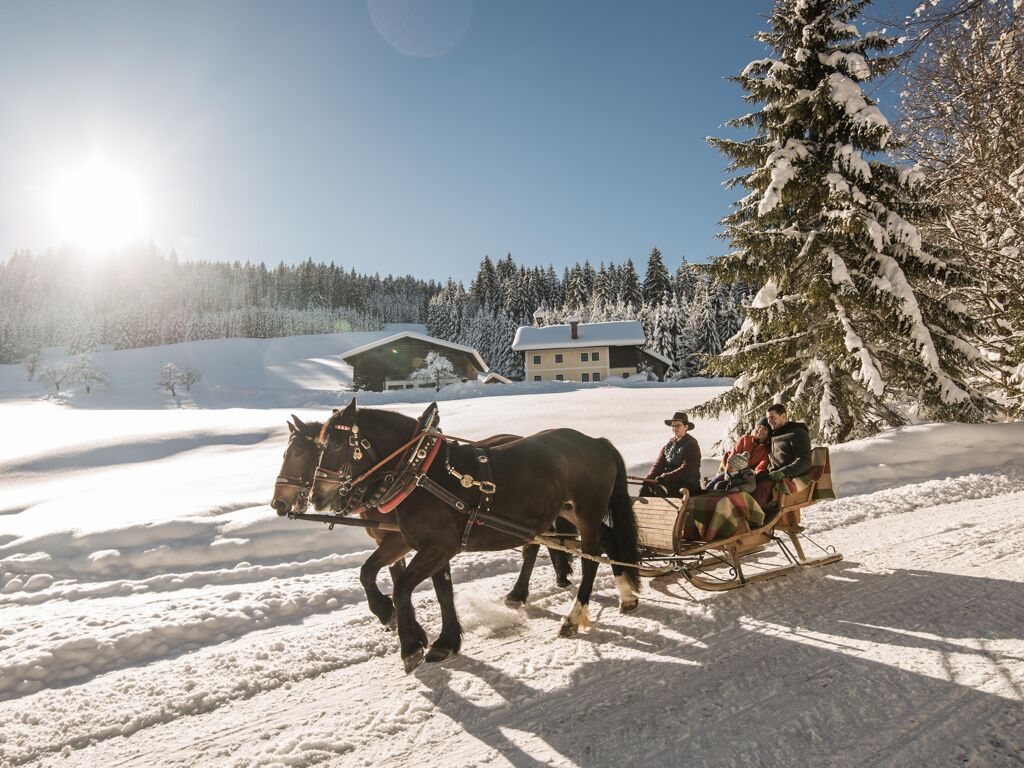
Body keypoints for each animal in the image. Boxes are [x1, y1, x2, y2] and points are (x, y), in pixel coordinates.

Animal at [270, 417, 577, 634]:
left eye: (298, 452)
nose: (277, 503)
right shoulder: (395, 541)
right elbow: (391, 575)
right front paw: (398, 617)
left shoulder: (406, 540)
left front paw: (393, 616)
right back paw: (557, 576)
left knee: (533, 548)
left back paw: (521, 592)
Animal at [309, 399, 638, 675]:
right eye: (318, 445)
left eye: (337, 443)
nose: (316, 498)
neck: (418, 471)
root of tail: (596, 442)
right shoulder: (412, 541)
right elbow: (378, 575)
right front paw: (433, 636)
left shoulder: (439, 546)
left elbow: (403, 588)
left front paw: (411, 646)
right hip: (571, 513)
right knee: (608, 541)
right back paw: (626, 594)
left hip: (587, 513)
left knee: (590, 561)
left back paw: (573, 617)